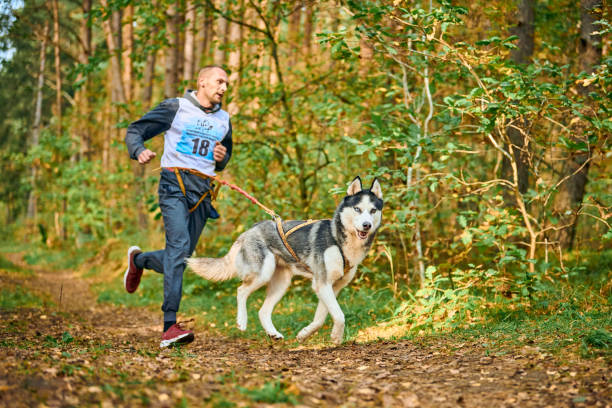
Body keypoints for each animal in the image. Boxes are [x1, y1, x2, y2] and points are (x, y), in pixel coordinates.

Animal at [189, 177, 384, 342]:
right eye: (357, 209)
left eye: (373, 210)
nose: (367, 225)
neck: (338, 239)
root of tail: (248, 231)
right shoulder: (322, 283)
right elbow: (339, 315)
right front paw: (336, 335)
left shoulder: (332, 287)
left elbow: (321, 318)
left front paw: (306, 334)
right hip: (263, 272)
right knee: (241, 291)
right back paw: (242, 321)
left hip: (281, 284)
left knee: (262, 311)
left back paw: (272, 333)